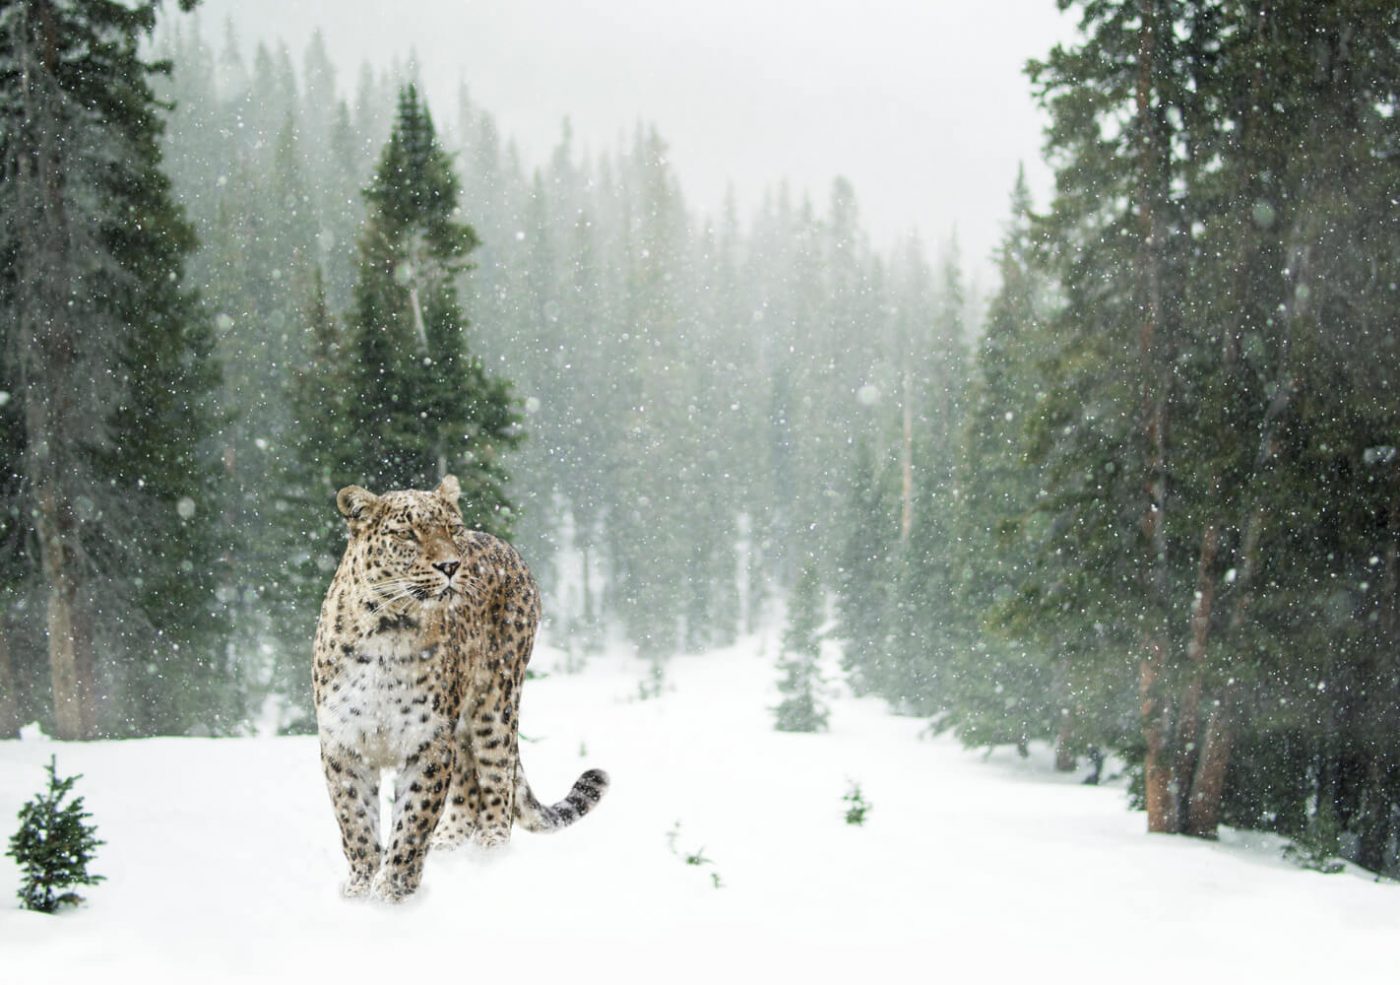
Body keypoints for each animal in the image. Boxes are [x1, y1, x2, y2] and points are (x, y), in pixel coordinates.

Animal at [312, 475, 609, 902]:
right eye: (407, 534)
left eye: (452, 529)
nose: (451, 565)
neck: (389, 629)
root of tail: (505, 546)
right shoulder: (344, 744)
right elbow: (356, 823)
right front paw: (360, 890)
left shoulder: (429, 742)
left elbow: (413, 822)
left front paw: (393, 893)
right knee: (469, 786)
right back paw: (449, 847)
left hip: (495, 705)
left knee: (497, 783)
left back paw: (489, 856)